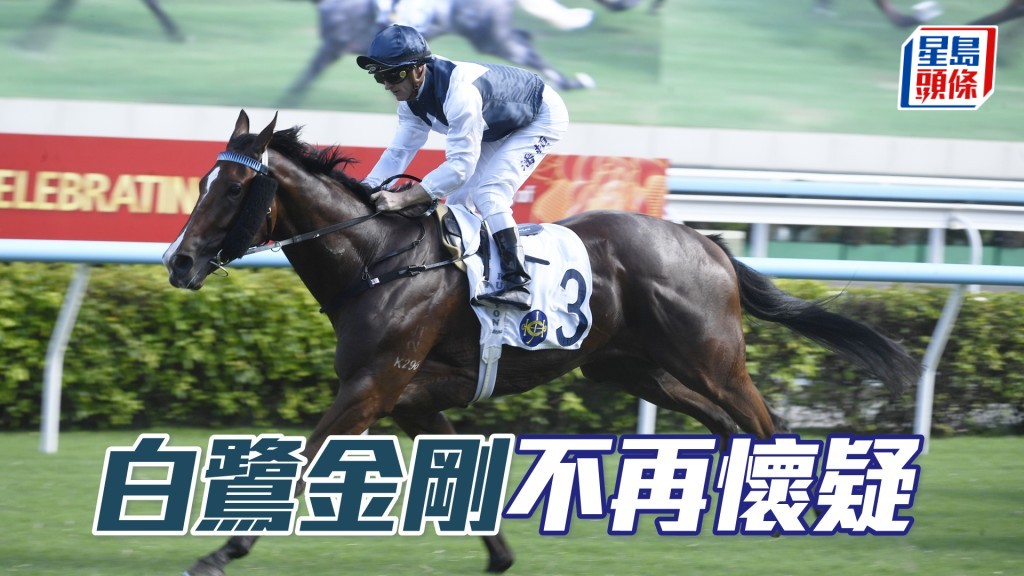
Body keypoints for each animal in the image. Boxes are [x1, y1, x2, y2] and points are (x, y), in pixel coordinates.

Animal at [164, 110, 919, 575]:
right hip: (630, 369)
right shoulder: (410, 396)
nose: (178, 262)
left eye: (234, 186)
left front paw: (219, 552)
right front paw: (500, 556)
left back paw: (801, 509)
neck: (378, 262)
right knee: (725, 427)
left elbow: (303, 462)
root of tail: (707, 241)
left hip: (712, 359)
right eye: (202, 180)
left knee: (766, 424)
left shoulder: (372, 387)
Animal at [278, 0, 604, 108]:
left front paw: (286, 103)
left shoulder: (332, 46)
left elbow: (304, 78)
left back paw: (569, 84)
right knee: (526, 40)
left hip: (490, 37)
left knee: (527, 52)